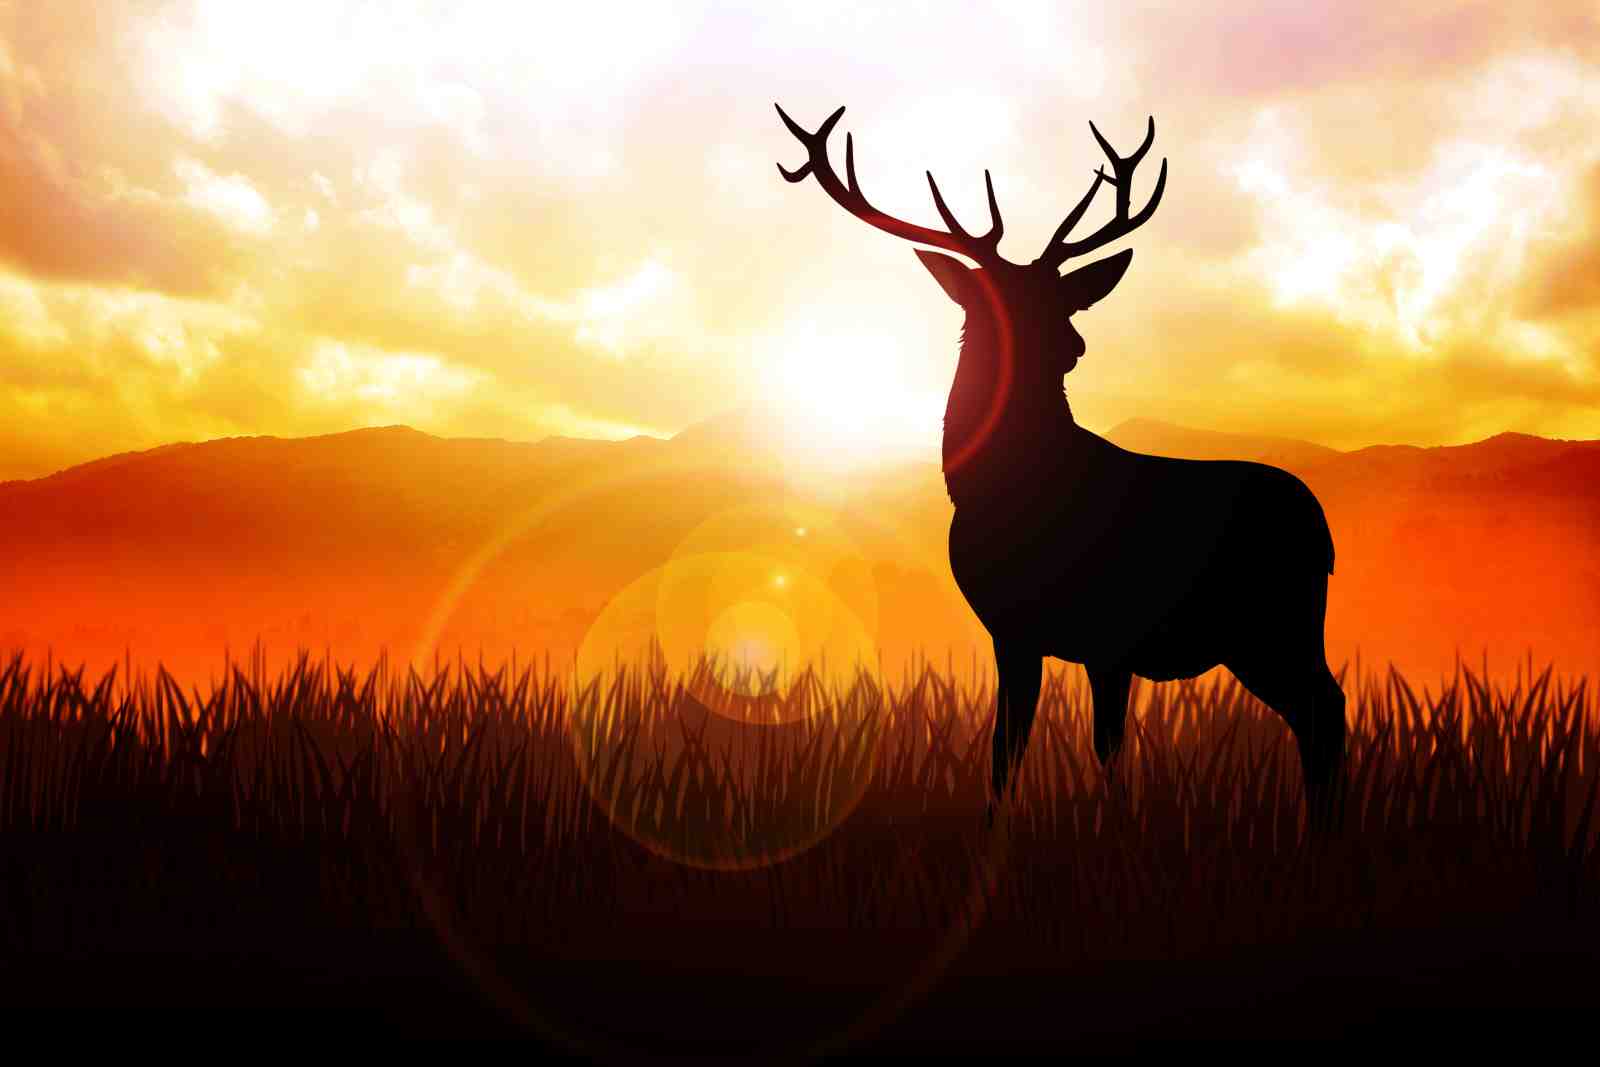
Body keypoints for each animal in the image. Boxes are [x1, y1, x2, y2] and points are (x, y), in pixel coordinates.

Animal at [776, 104, 1346, 831]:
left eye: (1063, 299)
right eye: (995, 301)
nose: (1072, 344)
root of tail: (1323, 532)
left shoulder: (1112, 631)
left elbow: (1106, 749)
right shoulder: (1012, 630)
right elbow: (1005, 748)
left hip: (1274, 621)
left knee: (1325, 707)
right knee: (1318, 710)